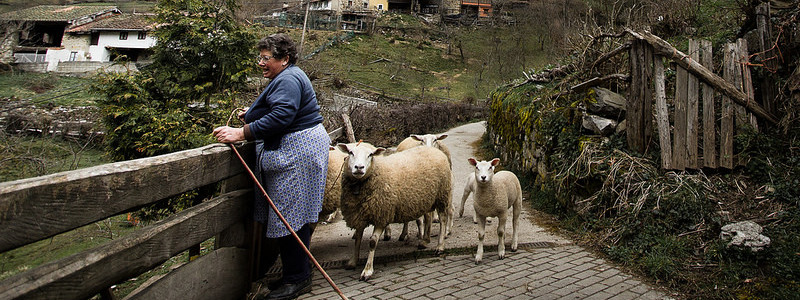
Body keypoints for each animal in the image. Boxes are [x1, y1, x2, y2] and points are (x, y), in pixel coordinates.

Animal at [336, 142, 450, 280]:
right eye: (350, 152)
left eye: (370, 155)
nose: (359, 167)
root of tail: (433, 149)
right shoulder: (360, 216)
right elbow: (357, 239)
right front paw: (353, 261)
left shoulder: (382, 215)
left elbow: (372, 242)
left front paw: (367, 270)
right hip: (427, 198)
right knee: (428, 217)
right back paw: (424, 241)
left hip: (442, 194)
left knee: (443, 219)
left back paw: (440, 246)